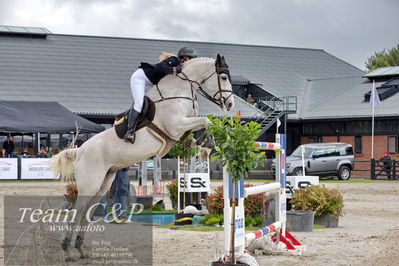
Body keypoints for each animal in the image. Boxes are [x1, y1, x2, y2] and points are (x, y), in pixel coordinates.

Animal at [51, 54, 236, 262]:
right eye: (223, 77)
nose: (230, 104)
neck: (179, 90)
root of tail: (80, 151)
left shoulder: (184, 127)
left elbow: (202, 124)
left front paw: (203, 141)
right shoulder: (176, 126)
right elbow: (206, 120)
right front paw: (209, 139)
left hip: (103, 184)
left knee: (85, 213)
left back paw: (81, 249)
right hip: (90, 184)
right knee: (76, 212)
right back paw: (67, 251)